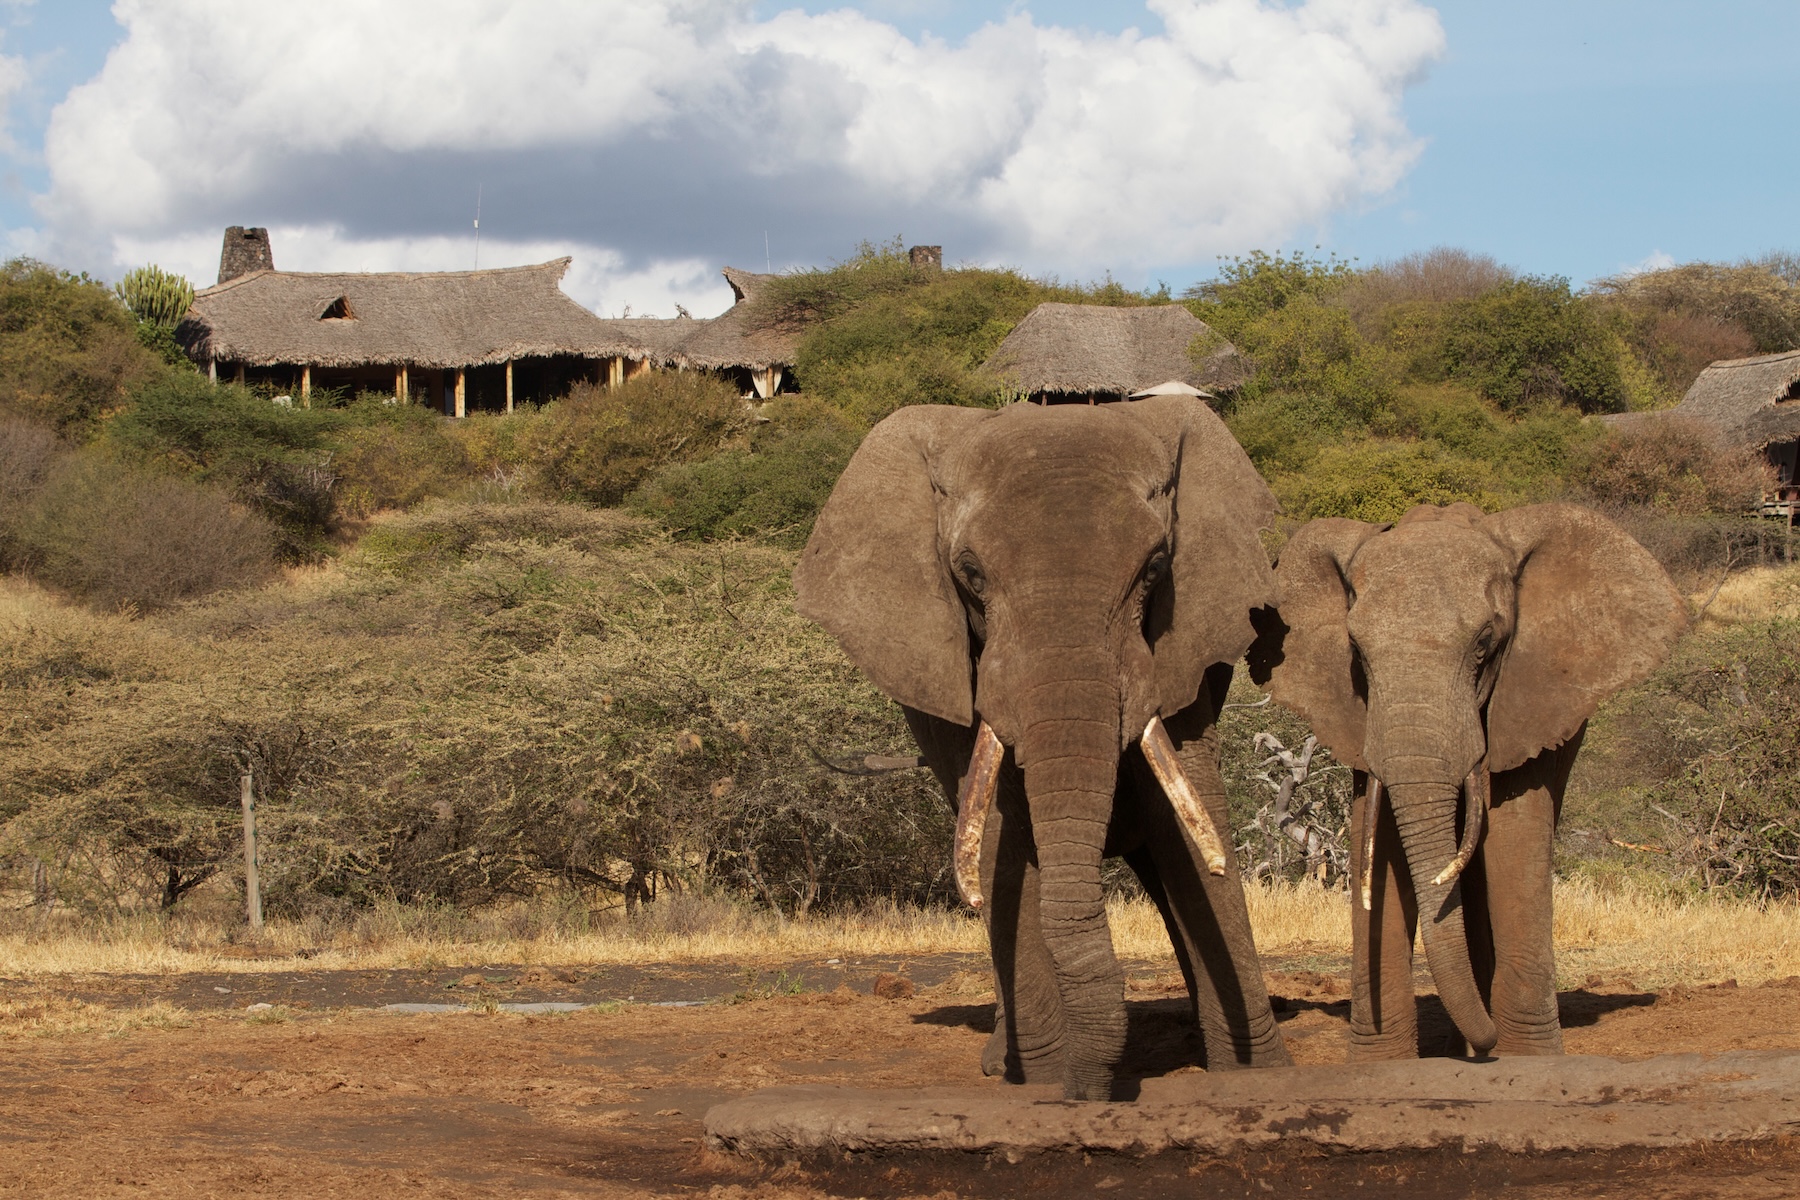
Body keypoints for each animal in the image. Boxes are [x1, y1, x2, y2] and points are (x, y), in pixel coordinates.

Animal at [793, 396, 1292, 1101]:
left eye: (1155, 569)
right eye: (970, 574)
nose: (1085, 1093)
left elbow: (1189, 819)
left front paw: (1258, 1076)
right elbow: (1000, 827)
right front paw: (1044, 1084)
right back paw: (1004, 1063)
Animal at [1249, 501, 1686, 1059]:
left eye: (1484, 645)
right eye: (1357, 651)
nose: (1490, 1041)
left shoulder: (1524, 700)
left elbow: (1514, 842)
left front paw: (1529, 1059)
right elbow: (1381, 843)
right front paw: (1382, 1063)